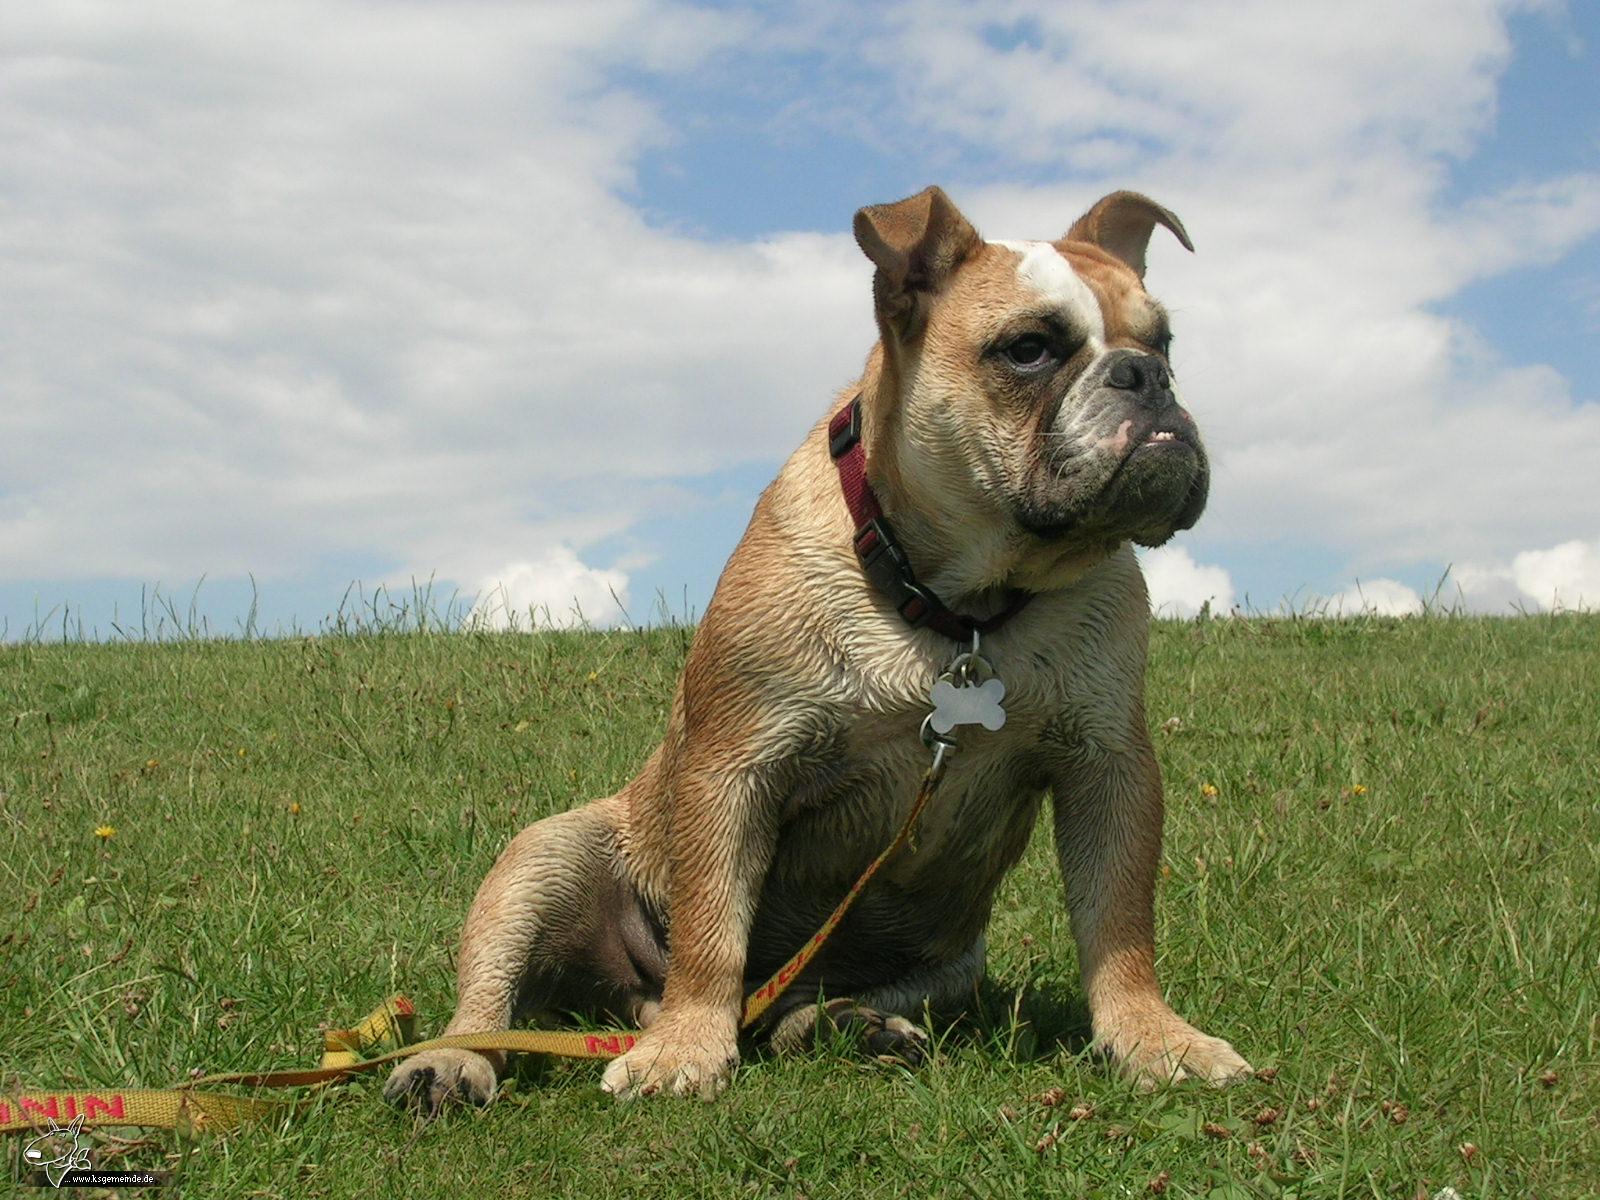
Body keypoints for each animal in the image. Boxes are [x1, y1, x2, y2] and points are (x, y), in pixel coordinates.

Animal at [384, 185, 1248, 1107]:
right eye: (1028, 350)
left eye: (1164, 342)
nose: (1147, 378)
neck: (955, 602)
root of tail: (638, 999)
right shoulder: (734, 768)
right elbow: (711, 930)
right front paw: (685, 1050)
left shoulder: (1109, 766)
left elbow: (1119, 922)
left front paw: (1152, 1036)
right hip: (543, 862)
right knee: (498, 996)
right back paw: (460, 1060)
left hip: (947, 959)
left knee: (808, 998)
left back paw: (843, 1025)